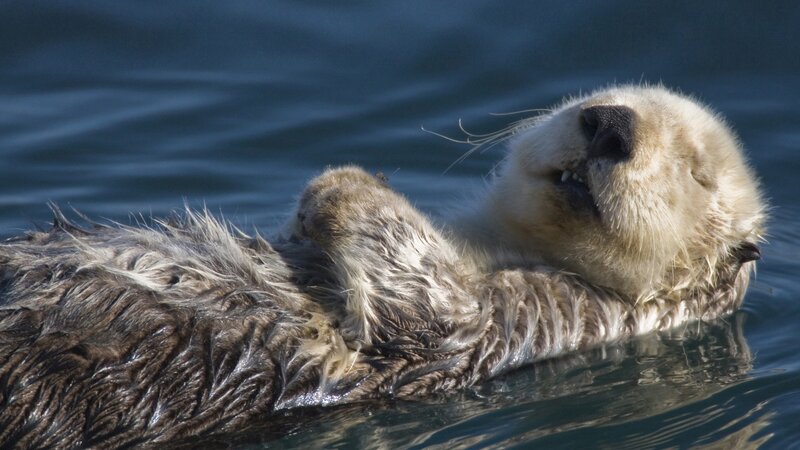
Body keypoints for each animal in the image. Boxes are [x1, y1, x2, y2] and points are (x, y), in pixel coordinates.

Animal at [0, 85, 765, 448]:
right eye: (595, 101)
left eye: (696, 172)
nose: (611, 124)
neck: (496, 243)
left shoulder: (541, 317)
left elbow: (428, 311)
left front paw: (344, 183)